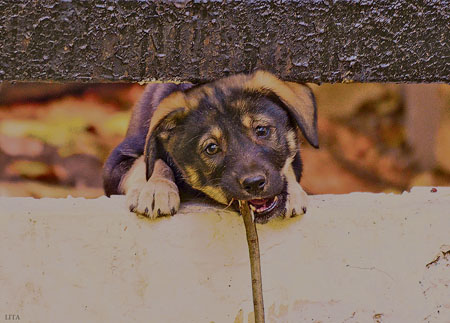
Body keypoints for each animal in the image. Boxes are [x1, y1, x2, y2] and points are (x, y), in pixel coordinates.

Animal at [103, 70, 318, 223]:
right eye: (212, 148)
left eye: (262, 130)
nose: (255, 183)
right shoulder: (116, 162)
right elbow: (148, 161)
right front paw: (155, 188)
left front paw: (293, 192)